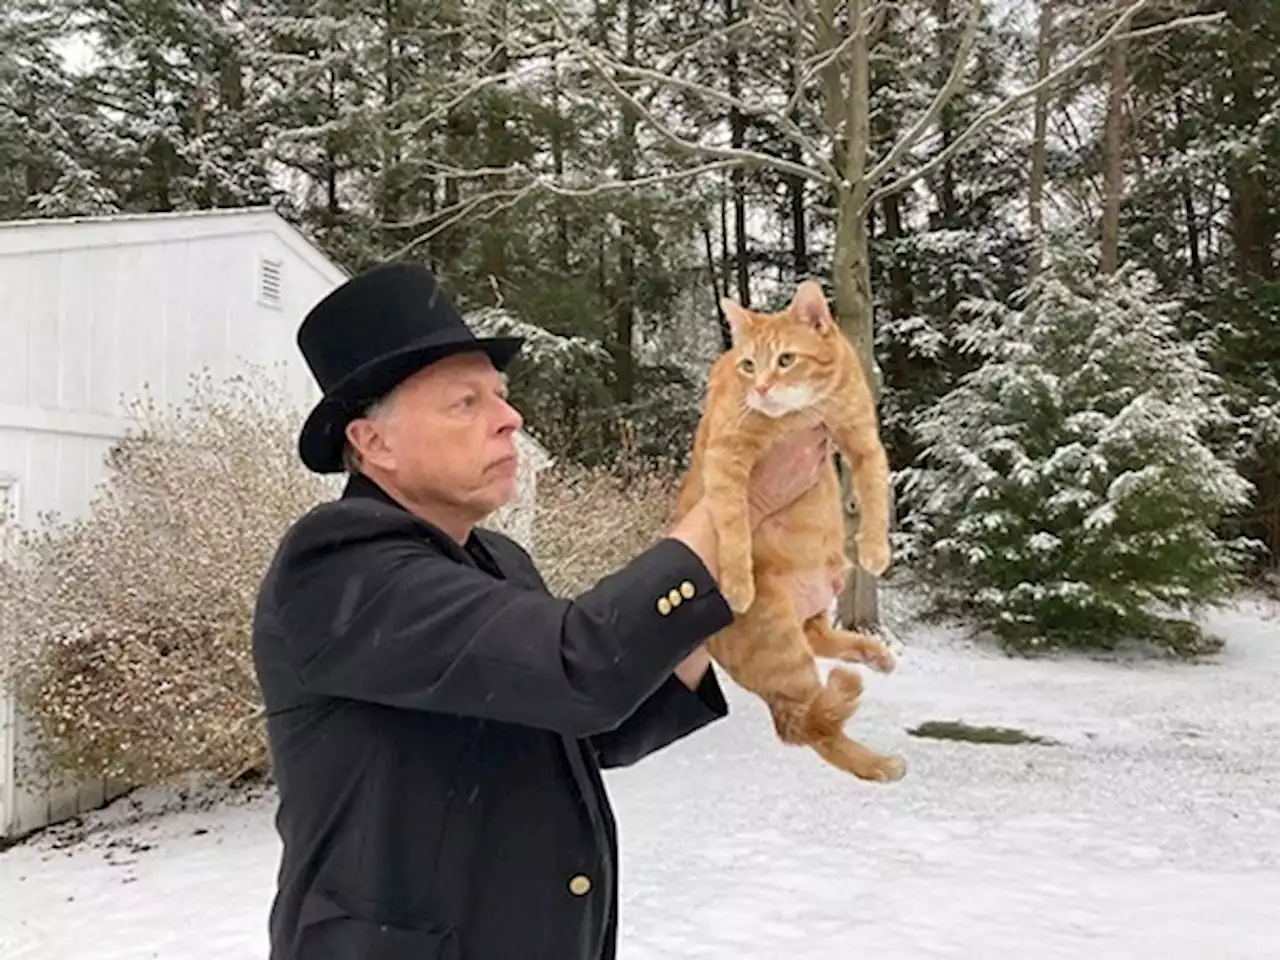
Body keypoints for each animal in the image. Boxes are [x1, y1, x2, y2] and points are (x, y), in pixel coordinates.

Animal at [675, 277, 906, 783]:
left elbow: (875, 491)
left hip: (823, 586)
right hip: (782, 644)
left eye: (785, 360)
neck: (801, 414)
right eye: (748, 365)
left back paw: (871, 653)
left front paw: (876, 548)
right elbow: (732, 523)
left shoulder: (861, 437)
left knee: (819, 641)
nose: (761, 388)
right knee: (807, 725)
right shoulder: (728, 458)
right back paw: (877, 763)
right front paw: (737, 582)